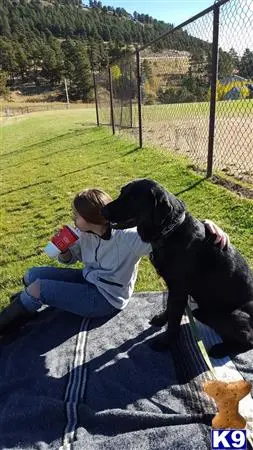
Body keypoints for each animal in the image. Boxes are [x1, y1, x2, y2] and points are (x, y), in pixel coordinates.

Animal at [102, 179, 253, 358]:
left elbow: (175, 319)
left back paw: (221, 349)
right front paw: (162, 319)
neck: (170, 231)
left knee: (248, 341)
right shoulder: (173, 288)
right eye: (122, 192)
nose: (102, 210)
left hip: (227, 315)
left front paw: (166, 342)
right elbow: (169, 308)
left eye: (132, 198)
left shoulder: (179, 289)